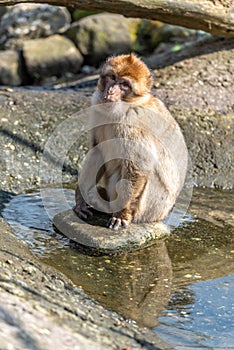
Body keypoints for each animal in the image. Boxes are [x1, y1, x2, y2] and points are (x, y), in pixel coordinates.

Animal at [74, 53, 187, 230]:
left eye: (124, 84)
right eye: (112, 77)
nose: (110, 91)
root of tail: (164, 214)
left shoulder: (132, 125)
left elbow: (138, 166)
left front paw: (121, 214)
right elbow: (96, 149)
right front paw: (81, 200)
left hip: (150, 208)